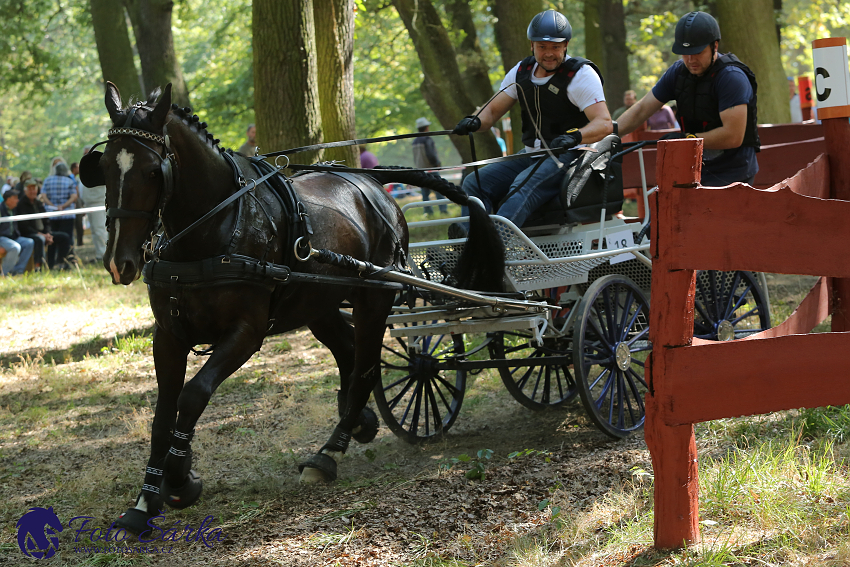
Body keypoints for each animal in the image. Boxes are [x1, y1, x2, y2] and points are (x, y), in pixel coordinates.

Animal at [81, 82, 504, 536]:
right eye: (104, 168)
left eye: (151, 172)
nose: (119, 261)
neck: (215, 228)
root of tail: (371, 183)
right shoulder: (169, 336)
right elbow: (163, 416)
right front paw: (143, 504)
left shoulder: (246, 333)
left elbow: (193, 396)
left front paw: (180, 480)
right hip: (319, 305)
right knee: (350, 354)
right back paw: (358, 420)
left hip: (374, 299)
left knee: (366, 365)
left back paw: (329, 452)